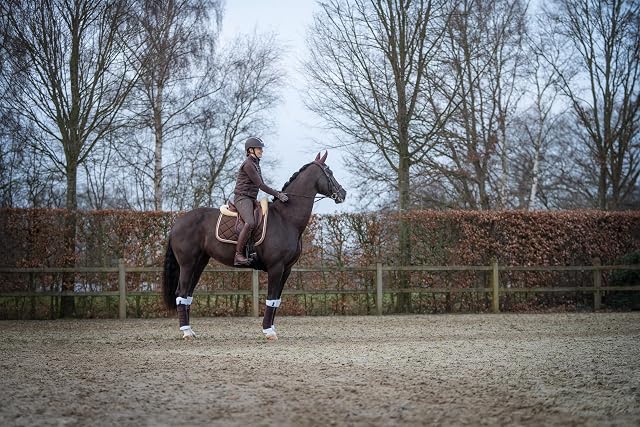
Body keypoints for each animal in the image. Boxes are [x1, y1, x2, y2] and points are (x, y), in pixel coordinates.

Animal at [162, 151, 346, 339]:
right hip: (187, 264)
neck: (286, 218)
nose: (343, 193)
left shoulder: (286, 269)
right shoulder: (276, 267)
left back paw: (190, 330)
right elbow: (271, 298)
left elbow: (276, 300)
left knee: (188, 294)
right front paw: (268, 331)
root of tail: (178, 222)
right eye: (329, 172)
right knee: (181, 293)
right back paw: (186, 331)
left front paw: (271, 328)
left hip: (199, 263)